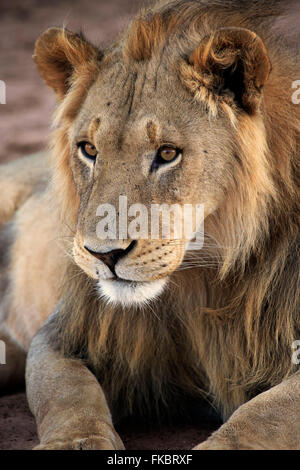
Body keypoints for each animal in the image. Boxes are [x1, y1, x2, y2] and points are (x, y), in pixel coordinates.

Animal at [0, 0, 300, 450]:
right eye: (88, 149)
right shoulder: (64, 334)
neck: (202, 277)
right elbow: (67, 392)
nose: (104, 255)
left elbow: (265, 416)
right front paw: (78, 441)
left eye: (167, 153)